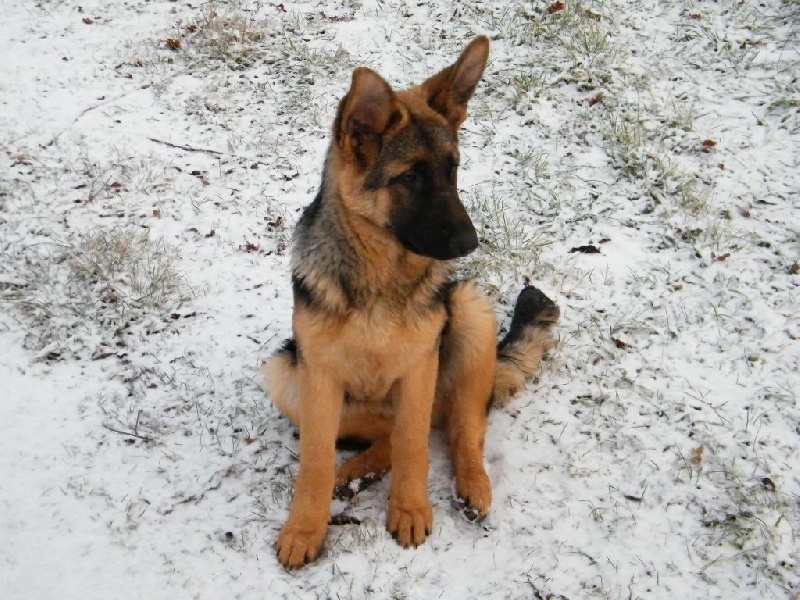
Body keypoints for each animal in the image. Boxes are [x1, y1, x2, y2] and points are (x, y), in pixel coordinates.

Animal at [260, 36, 559, 568]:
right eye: (409, 178)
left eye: (452, 169)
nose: (470, 243)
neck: (382, 274)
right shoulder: (318, 375)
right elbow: (316, 459)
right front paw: (304, 528)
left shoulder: (421, 366)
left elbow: (415, 443)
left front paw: (410, 508)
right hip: (284, 372)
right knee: (384, 433)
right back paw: (354, 472)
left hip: (469, 313)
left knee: (459, 424)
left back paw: (471, 484)